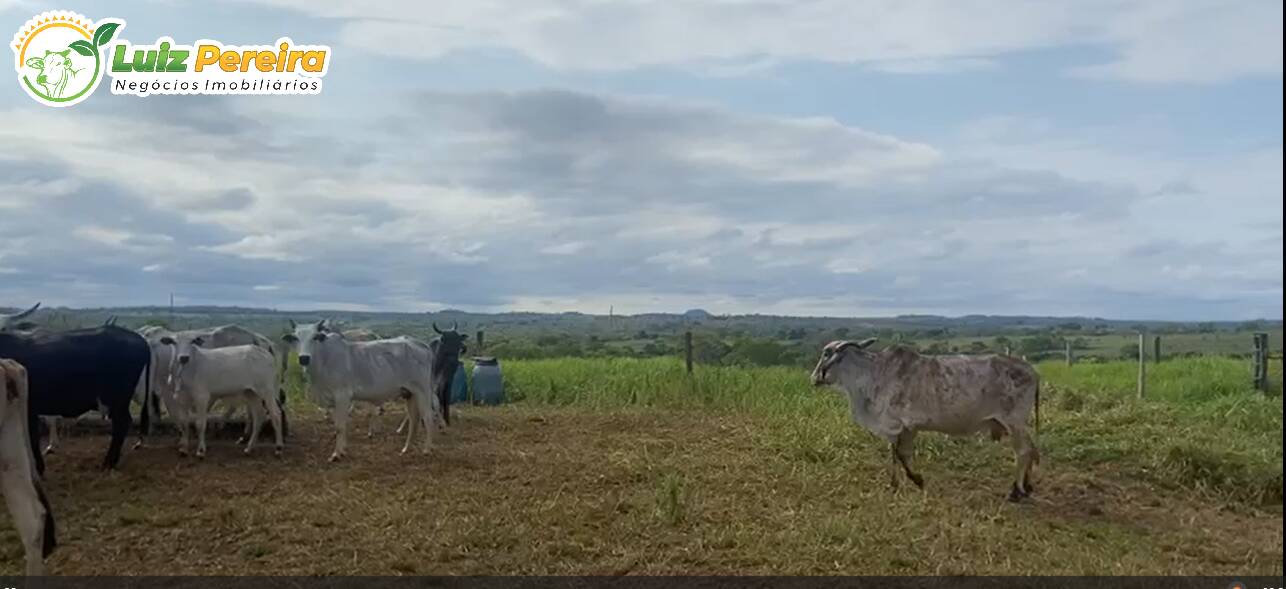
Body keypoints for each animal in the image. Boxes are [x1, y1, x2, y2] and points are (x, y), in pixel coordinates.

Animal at [0, 324, 151, 470]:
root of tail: (138, 338)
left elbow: (32, 438)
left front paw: (38, 467)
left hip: (117, 399)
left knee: (121, 423)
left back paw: (108, 463)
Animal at [282, 320, 439, 462]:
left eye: (315, 337)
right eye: (295, 338)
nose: (304, 358)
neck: (324, 359)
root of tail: (421, 344)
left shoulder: (342, 396)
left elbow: (339, 427)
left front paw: (336, 454)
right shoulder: (334, 401)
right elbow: (340, 425)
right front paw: (343, 450)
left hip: (423, 390)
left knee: (428, 417)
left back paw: (427, 449)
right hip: (409, 393)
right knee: (414, 419)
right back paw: (406, 448)